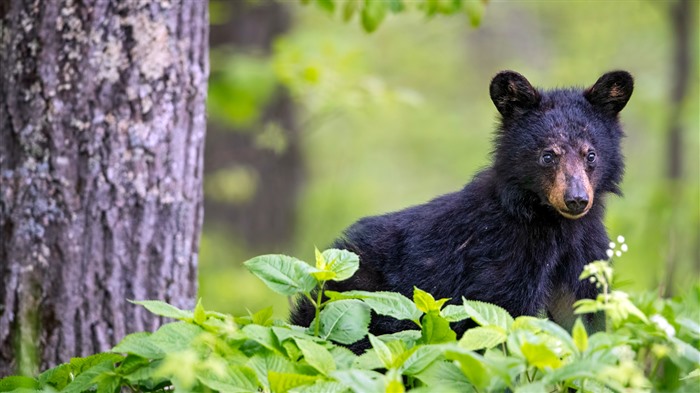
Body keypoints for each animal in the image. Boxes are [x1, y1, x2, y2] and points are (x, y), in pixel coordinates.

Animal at [290, 69, 636, 348]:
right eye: (547, 155)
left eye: (590, 154)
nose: (576, 199)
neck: (554, 225)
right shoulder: (499, 259)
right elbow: (496, 324)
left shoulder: (586, 254)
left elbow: (582, 320)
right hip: (356, 300)